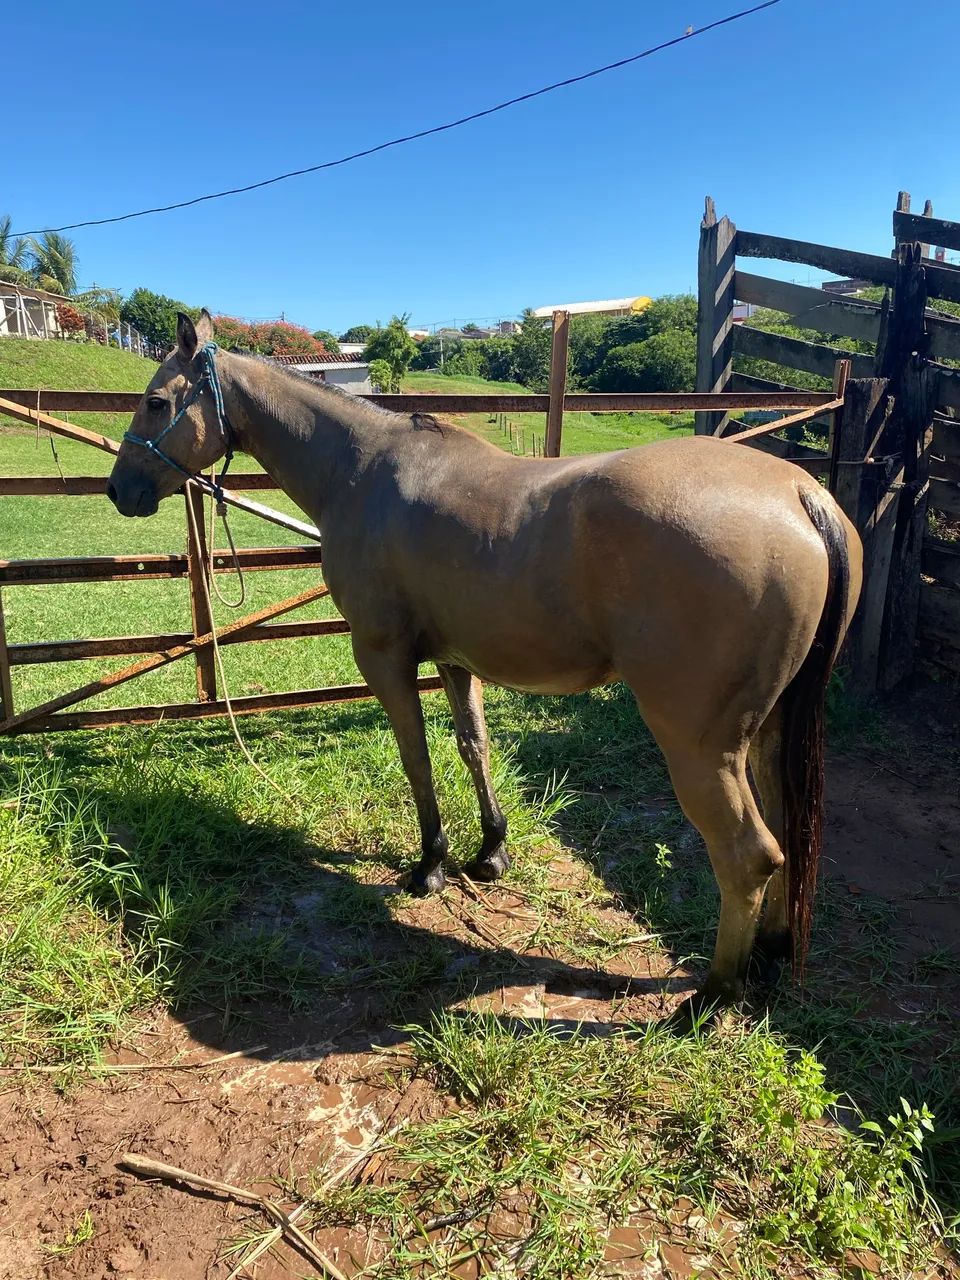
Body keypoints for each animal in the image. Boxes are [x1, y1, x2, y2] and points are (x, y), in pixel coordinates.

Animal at [106, 310, 862, 1024]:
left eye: (154, 401)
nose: (119, 490)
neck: (364, 471)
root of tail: (800, 497)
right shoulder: (453, 660)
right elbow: (474, 747)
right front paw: (490, 852)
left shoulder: (382, 656)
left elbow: (416, 757)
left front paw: (430, 866)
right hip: (766, 733)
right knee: (785, 833)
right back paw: (768, 954)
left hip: (700, 748)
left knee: (748, 856)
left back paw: (712, 995)